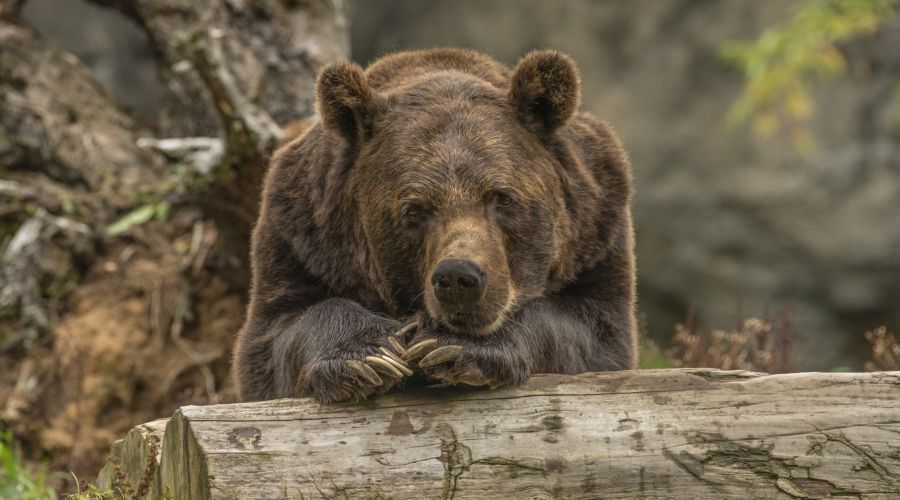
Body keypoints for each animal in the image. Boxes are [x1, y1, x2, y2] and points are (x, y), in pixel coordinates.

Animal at [233, 48, 636, 403]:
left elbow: (592, 333)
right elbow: (277, 335)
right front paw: (370, 356)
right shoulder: (300, 237)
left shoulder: (597, 232)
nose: (458, 277)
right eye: (414, 209)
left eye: (502, 197)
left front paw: (454, 346)